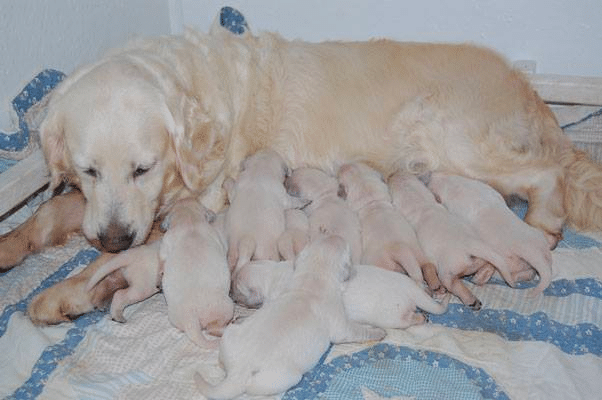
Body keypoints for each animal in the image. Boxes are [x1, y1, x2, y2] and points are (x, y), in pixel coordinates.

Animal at [158, 198, 233, 348]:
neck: (189, 221)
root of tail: (191, 319)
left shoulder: (166, 241)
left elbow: (162, 259)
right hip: (227, 307)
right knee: (212, 328)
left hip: (174, 317)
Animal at [197, 236, 384, 398]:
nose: (231, 294)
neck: (313, 278)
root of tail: (238, 371)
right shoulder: (342, 327)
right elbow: (359, 331)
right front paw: (380, 332)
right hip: (284, 377)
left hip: (229, 337)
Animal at [384, 171, 510, 310]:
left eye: (390, 182)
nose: (392, 173)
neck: (420, 202)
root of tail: (470, 245)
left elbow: (429, 270)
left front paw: (436, 287)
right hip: (485, 253)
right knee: (492, 263)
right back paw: (481, 276)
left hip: (447, 272)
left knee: (454, 285)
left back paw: (471, 300)